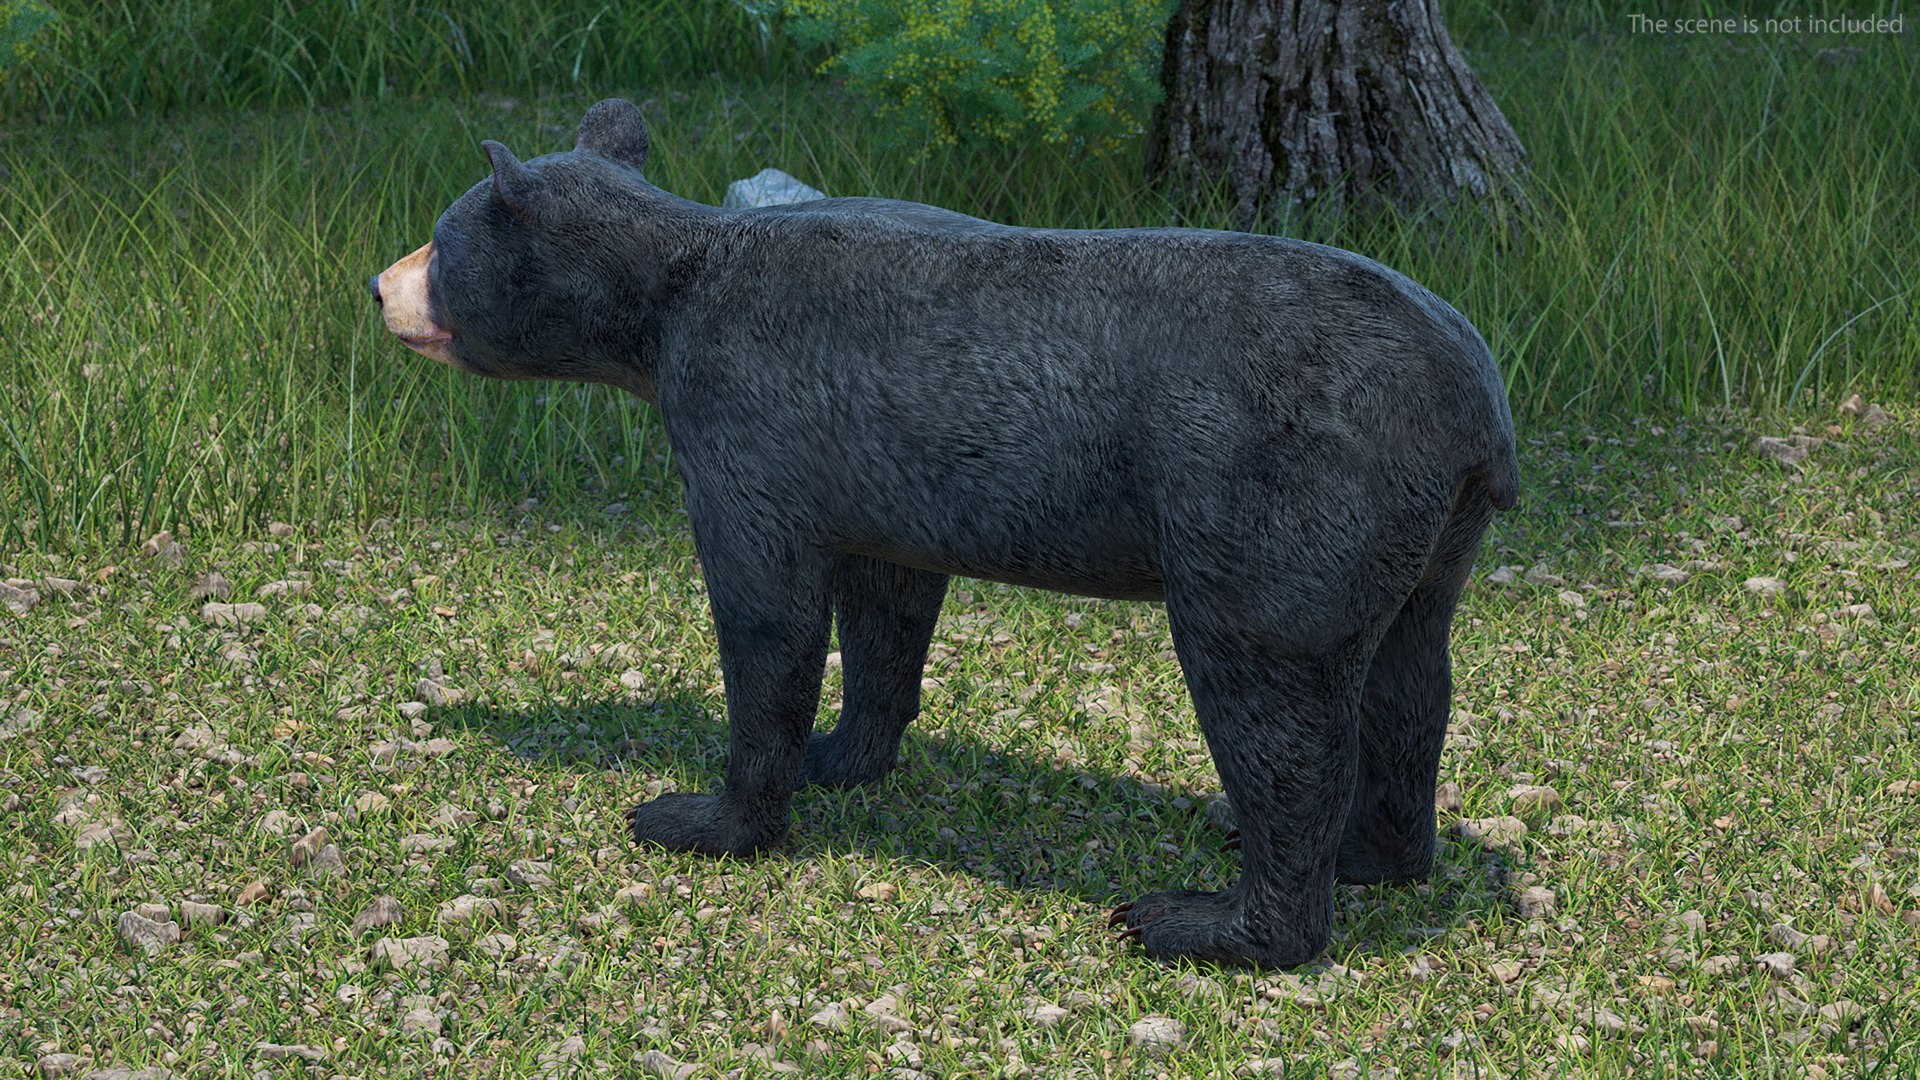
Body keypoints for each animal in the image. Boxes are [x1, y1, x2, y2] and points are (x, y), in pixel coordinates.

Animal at [371, 98, 1519, 968]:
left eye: (444, 235)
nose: (380, 284)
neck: (671, 287)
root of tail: (1478, 410)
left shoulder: (747, 416)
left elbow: (765, 610)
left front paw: (704, 816)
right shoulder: (875, 462)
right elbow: (888, 603)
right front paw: (843, 751)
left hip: (1281, 503)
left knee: (1275, 693)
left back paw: (1213, 919)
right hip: (1422, 538)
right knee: (1411, 682)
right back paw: (1374, 854)